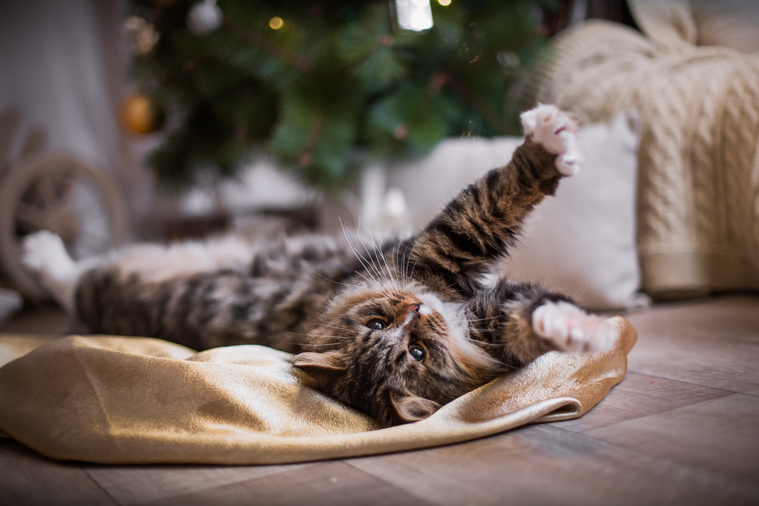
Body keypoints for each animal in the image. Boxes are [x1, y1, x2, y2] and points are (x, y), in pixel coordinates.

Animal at [20, 104, 620, 426]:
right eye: (389, 332)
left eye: (415, 349)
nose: (413, 308)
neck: (454, 310)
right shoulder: (442, 249)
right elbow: (496, 194)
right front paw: (548, 143)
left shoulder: (492, 317)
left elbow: (536, 319)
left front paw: (577, 329)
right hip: (113, 278)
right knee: (73, 277)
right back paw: (39, 249)